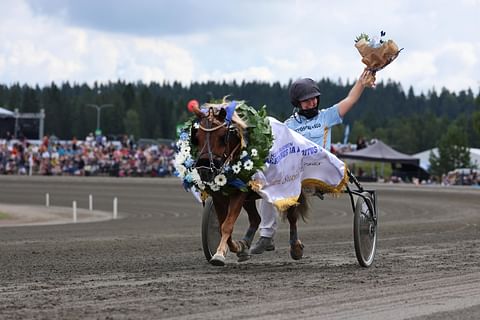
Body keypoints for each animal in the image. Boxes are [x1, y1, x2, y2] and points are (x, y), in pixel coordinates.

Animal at [189, 102, 306, 264]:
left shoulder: (239, 193)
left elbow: (227, 225)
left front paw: (219, 254)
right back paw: (245, 245)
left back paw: (295, 247)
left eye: (222, 137)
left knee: (292, 217)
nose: (205, 170)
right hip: (249, 198)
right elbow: (221, 225)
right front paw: (236, 247)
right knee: (255, 219)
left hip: (289, 190)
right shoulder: (220, 196)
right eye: (197, 137)